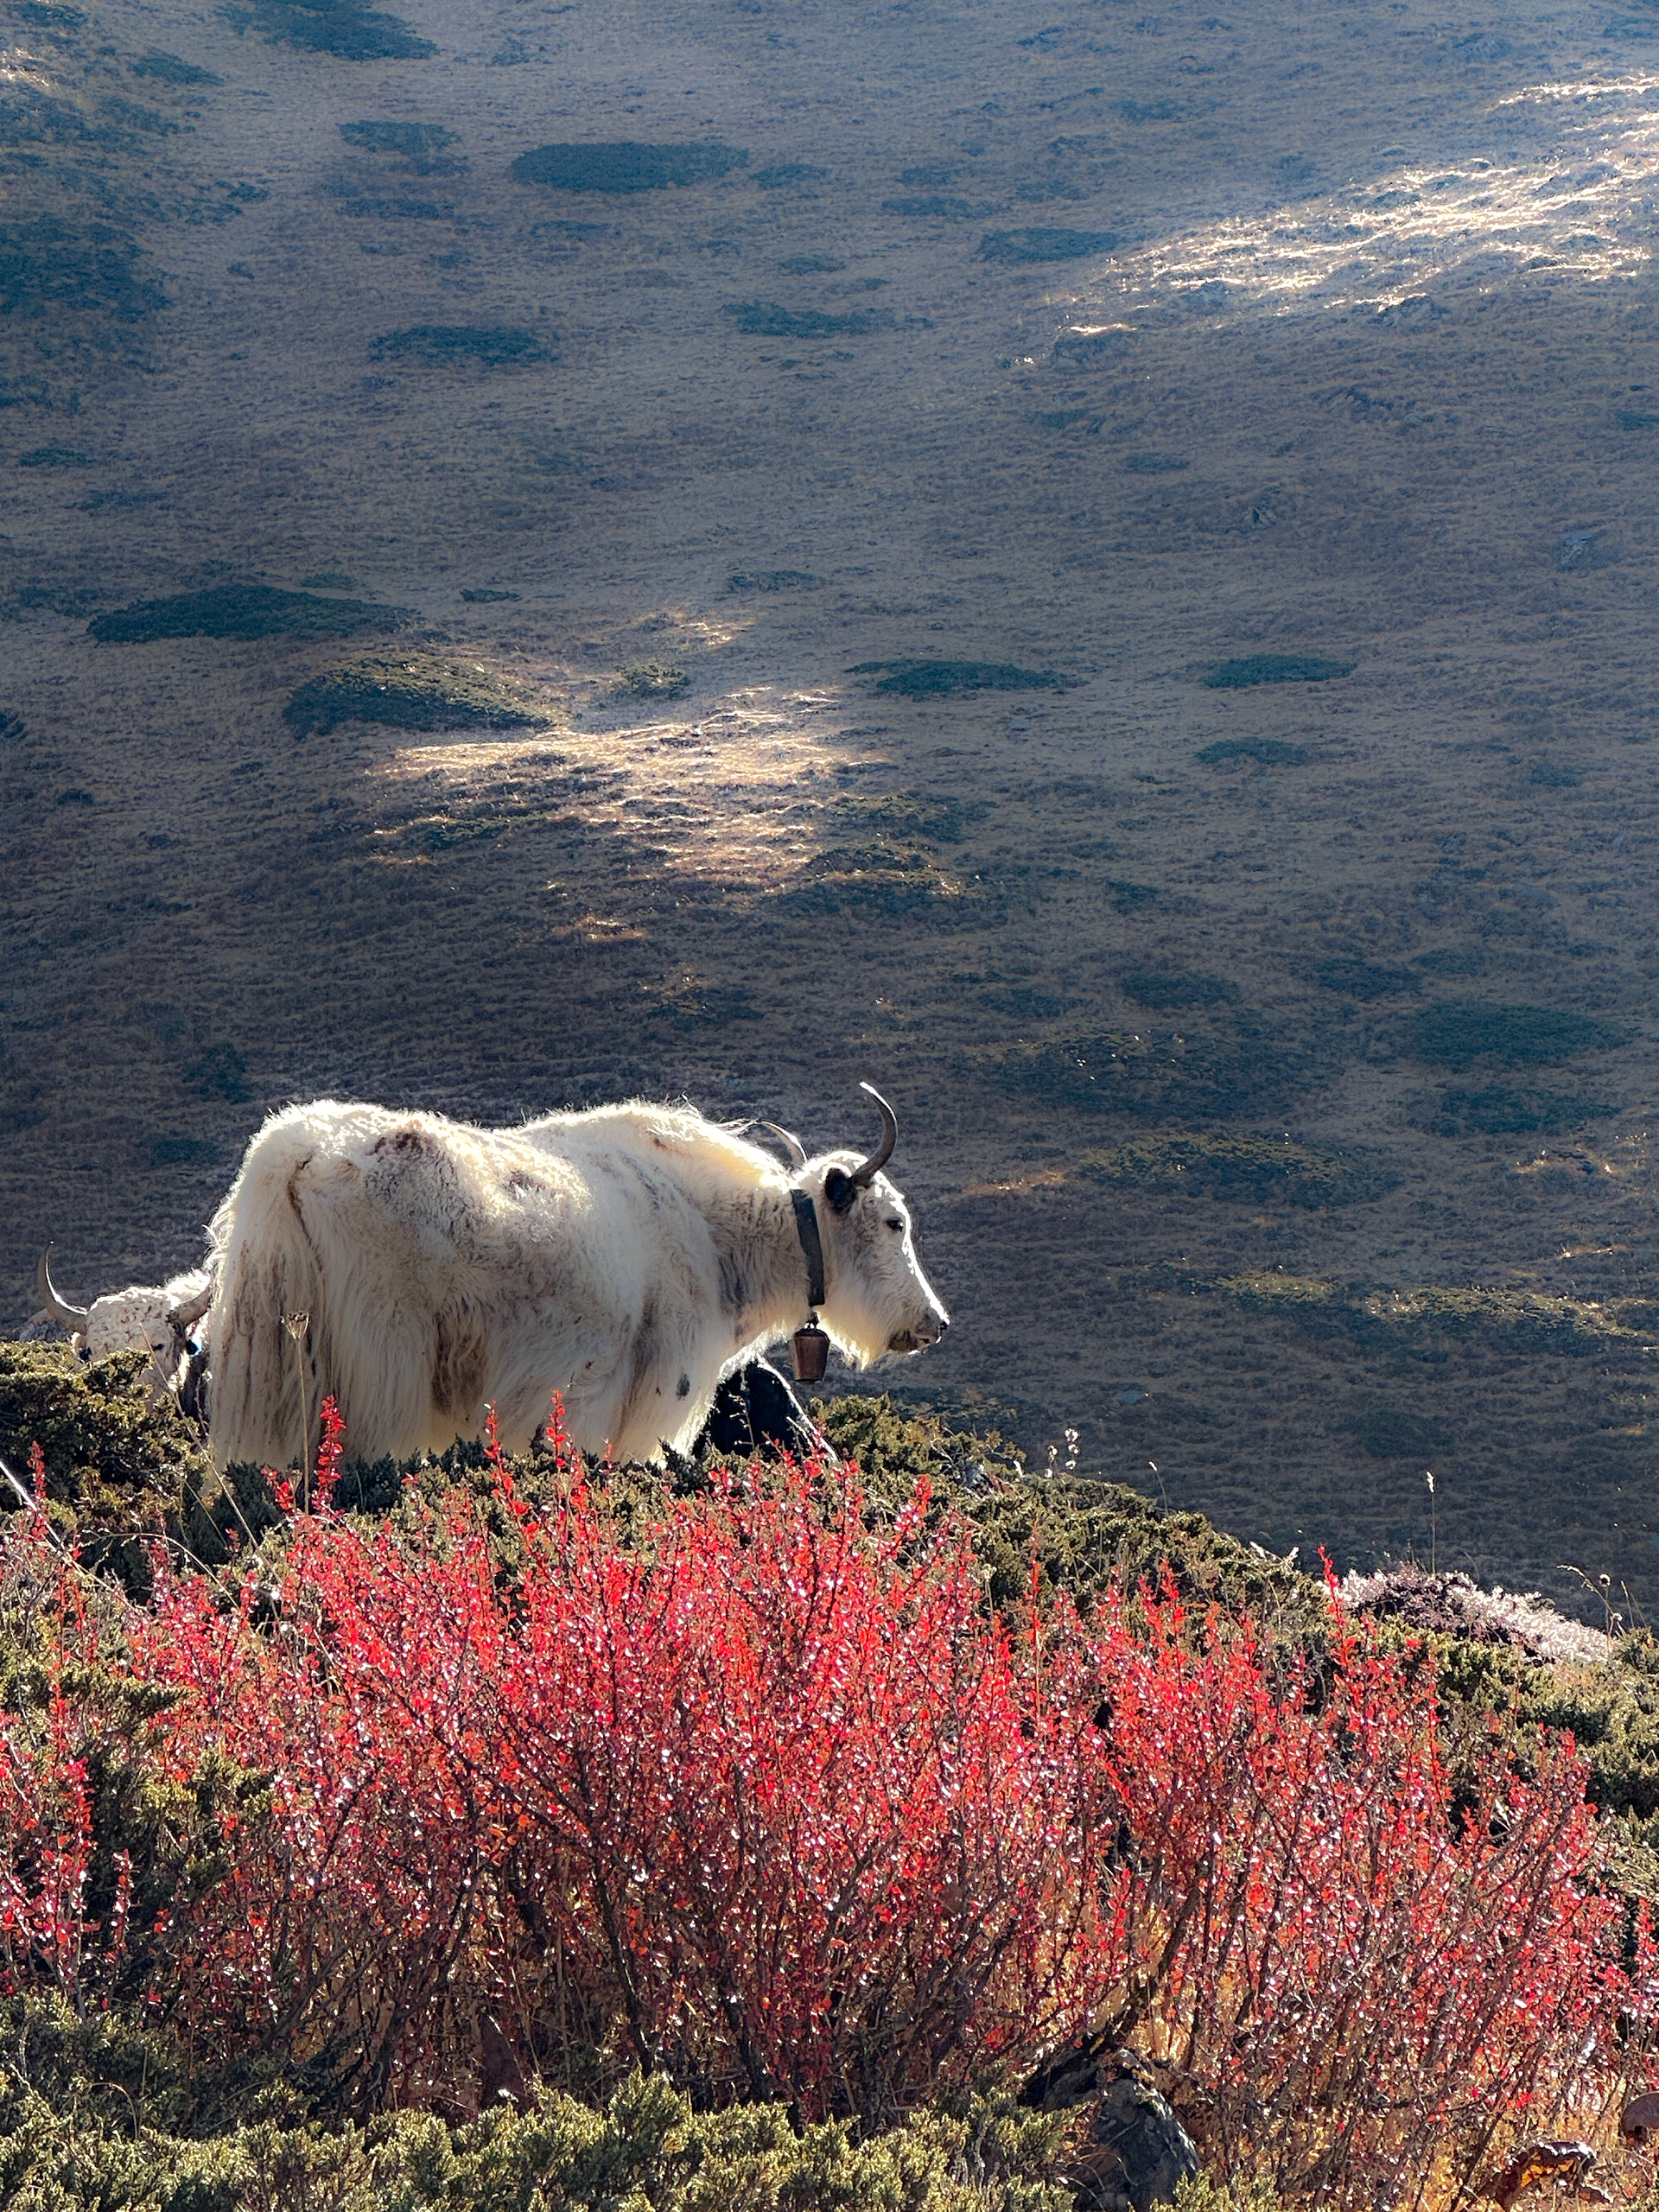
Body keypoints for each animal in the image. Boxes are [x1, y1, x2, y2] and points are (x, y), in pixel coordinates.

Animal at [204, 1083, 948, 1472]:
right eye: (893, 1223)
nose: (934, 1324)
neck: (715, 1237)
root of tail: (295, 1152)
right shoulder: (634, 1397)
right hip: (383, 1360)